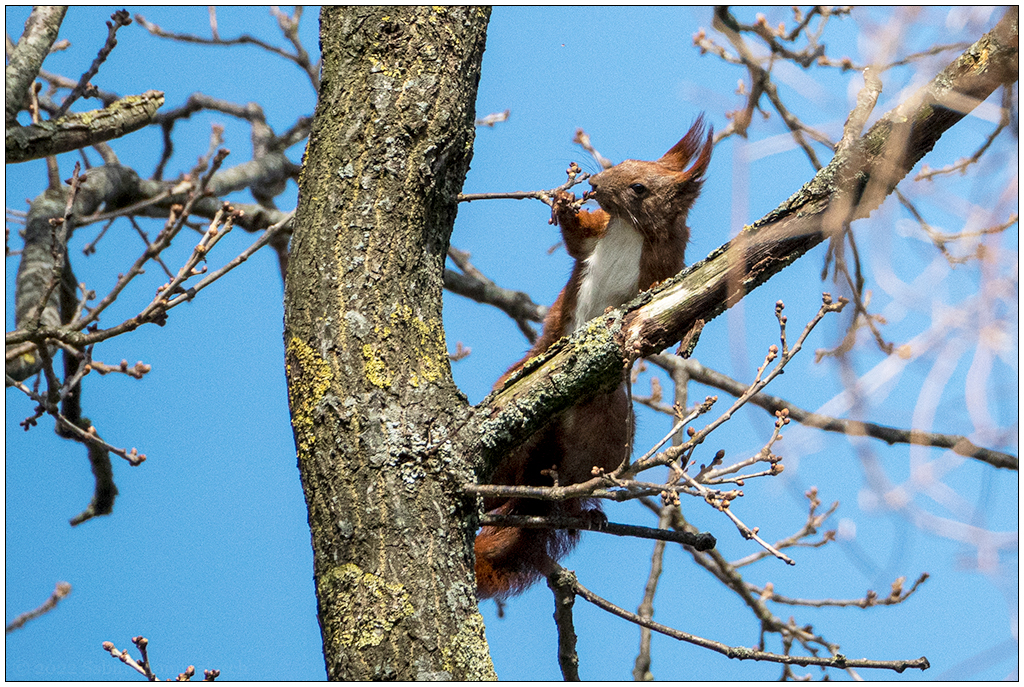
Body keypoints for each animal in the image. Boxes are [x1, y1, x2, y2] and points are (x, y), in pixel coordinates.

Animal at [475, 117, 714, 600]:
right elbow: (576, 241)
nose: (595, 183)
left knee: (571, 486)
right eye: (622, 161)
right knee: (502, 491)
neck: (627, 228)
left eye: (640, 187)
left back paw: (583, 511)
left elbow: (665, 290)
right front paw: (565, 204)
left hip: (606, 433)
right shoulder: (596, 235)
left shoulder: (668, 262)